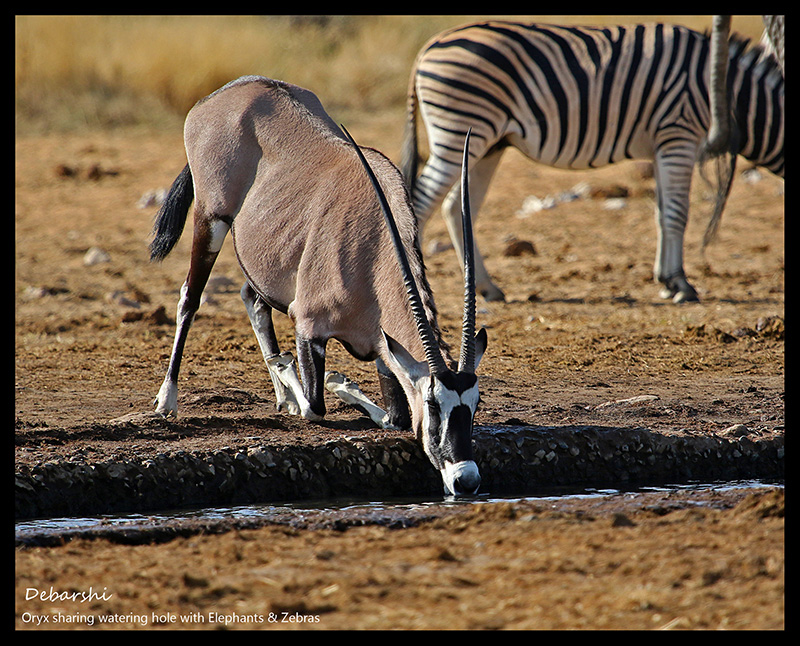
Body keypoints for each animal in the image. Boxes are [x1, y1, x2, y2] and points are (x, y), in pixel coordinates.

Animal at [404, 20, 784, 304]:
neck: (731, 92)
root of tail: (426, 47)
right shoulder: (679, 135)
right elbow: (678, 214)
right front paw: (681, 284)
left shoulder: (663, 147)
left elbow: (662, 213)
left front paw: (665, 280)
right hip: (460, 128)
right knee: (420, 204)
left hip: (487, 143)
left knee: (457, 208)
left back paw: (488, 288)